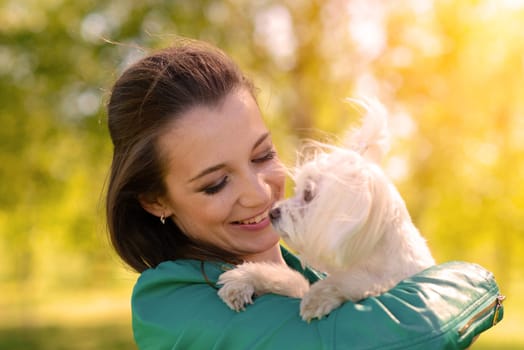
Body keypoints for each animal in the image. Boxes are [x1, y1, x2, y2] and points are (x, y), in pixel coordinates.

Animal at [217, 98, 434, 320]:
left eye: (308, 194)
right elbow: (291, 279)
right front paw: (243, 279)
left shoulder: (380, 280)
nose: (272, 213)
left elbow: (353, 282)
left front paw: (319, 297)